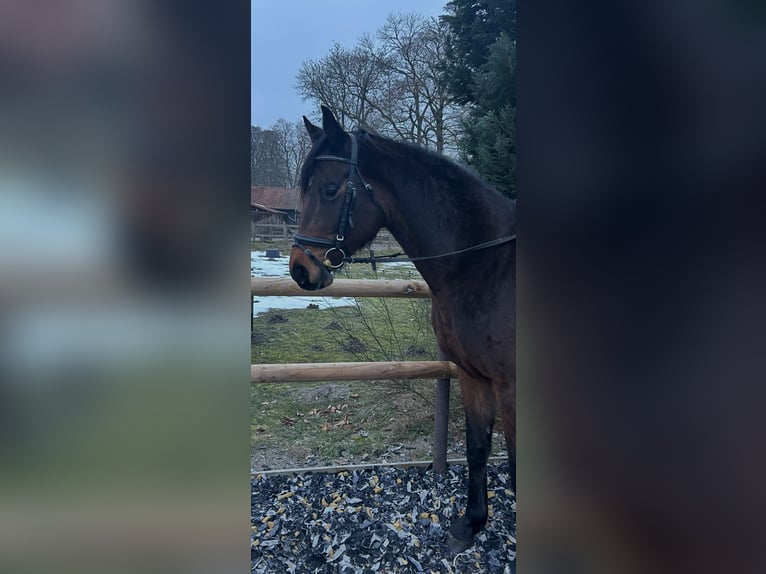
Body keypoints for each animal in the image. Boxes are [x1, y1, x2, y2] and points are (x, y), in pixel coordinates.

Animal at [289, 105, 516, 553]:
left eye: (329, 188)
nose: (300, 270)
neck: (484, 265)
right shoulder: (473, 376)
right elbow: (477, 446)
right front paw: (470, 524)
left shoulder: (512, 385)